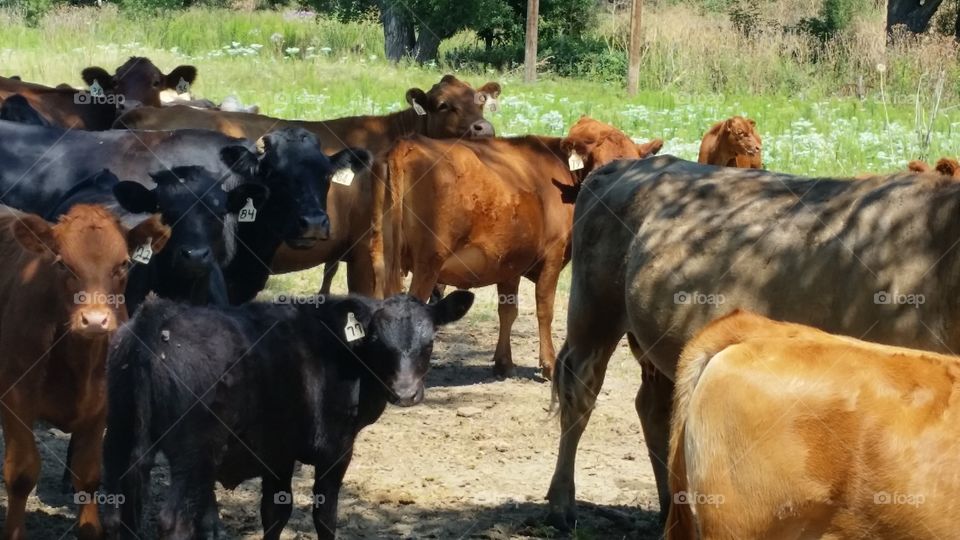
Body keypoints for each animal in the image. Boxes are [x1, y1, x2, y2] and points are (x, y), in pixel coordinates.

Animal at [0, 204, 169, 539]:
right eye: (63, 264)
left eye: (124, 264)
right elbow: (21, 472)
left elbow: (88, 475)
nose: (94, 320)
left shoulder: (101, 406)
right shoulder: (15, 398)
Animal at [101, 290, 474, 539]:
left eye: (429, 344)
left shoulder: (277, 452)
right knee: (173, 521)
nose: (406, 393)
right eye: (379, 343)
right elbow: (324, 515)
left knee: (118, 512)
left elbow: (275, 513)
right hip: (194, 453)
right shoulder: (337, 448)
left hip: (119, 437)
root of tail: (156, 317)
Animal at [372, 117, 662, 376]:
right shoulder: (553, 255)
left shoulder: (508, 262)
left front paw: (504, 363)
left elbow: (508, 311)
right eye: (600, 168)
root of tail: (408, 143)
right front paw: (548, 364)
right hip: (428, 264)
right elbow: (545, 309)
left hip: (379, 257)